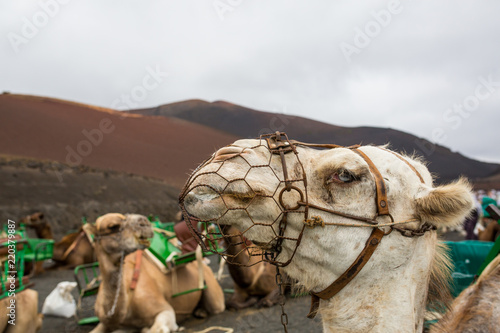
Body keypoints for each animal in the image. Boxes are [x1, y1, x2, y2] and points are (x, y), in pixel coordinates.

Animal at [88, 213, 225, 332]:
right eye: (113, 226)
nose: (144, 222)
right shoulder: (106, 323)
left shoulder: (165, 310)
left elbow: (155, 329)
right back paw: (199, 311)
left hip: (214, 294)